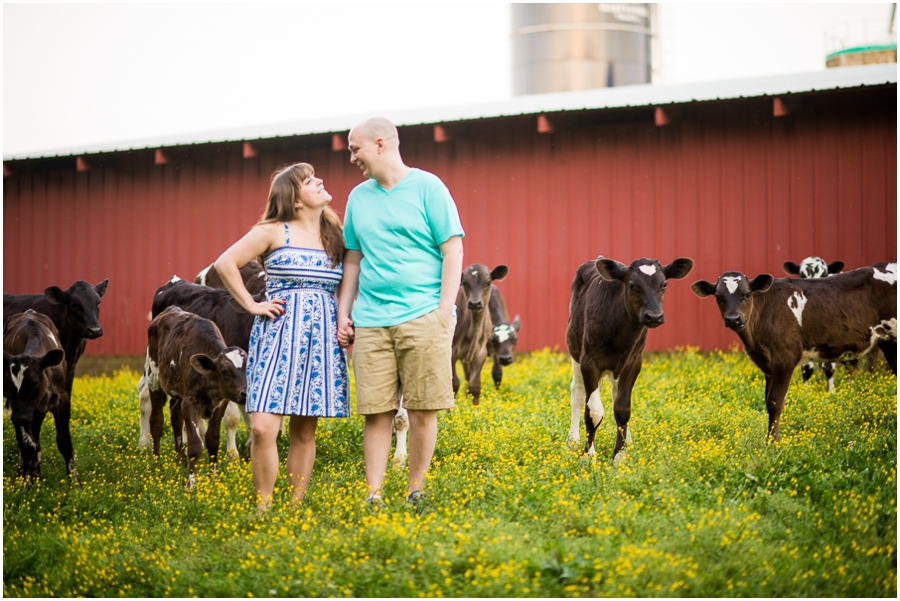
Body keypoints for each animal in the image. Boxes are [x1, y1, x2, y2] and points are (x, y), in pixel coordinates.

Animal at [2, 310, 68, 482]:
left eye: (34, 382)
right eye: (8, 384)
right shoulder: (19, 408)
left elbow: (64, 440)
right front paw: (26, 480)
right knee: (28, 441)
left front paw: (76, 483)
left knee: (36, 436)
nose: (18, 418)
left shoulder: (62, 400)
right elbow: (27, 444)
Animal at [145, 304, 250, 488]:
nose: (245, 393)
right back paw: (156, 465)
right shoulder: (190, 404)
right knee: (156, 422)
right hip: (154, 379)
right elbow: (195, 446)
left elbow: (213, 441)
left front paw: (213, 480)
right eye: (224, 371)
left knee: (175, 416)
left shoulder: (219, 404)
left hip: (178, 392)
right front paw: (191, 485)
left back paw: (179, 460)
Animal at [450, 262, 506, 404]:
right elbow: (454, 384)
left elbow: (474, 386)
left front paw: (475, 408)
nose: (475, 303)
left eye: (487, 282)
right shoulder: (451, 351)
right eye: (464, 283)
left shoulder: (481, 353)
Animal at [568, 255, 692, 458]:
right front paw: (589, 455)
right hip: (575, 351)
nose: (654, 316)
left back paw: (629, 440)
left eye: (664, 284)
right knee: (577, 393)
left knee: (615, 394)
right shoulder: (589, 361)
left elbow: (622, 408)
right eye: (632, 285)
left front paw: (620, 455)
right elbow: (594, 411)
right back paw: (572, 441)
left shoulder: (633, 362)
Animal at [692, 262, 896, 440]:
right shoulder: (768, 364)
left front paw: (773, 443)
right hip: (888, 341)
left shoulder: (785, 357)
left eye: (747, 293)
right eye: (718, 296)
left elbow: (775, 401)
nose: (733, 319)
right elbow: (767, 400)